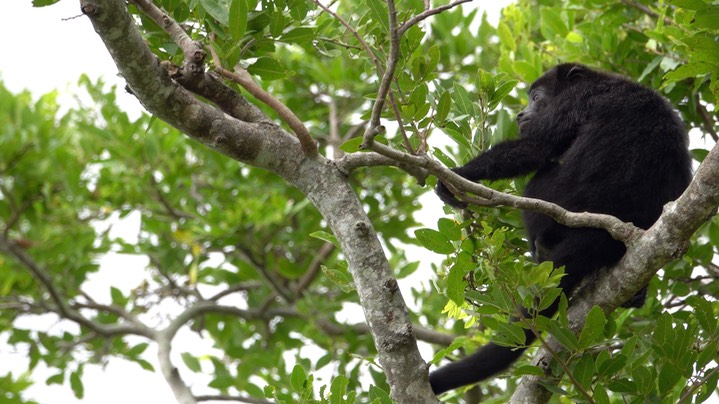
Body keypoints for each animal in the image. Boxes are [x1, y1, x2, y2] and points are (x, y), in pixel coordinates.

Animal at [430, 63, 696, 394]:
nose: (521, 114)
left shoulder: (575, 101)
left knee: (540, 177)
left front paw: (458, 175)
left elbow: (535, 148)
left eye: (536, 97)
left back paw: (543, 248)